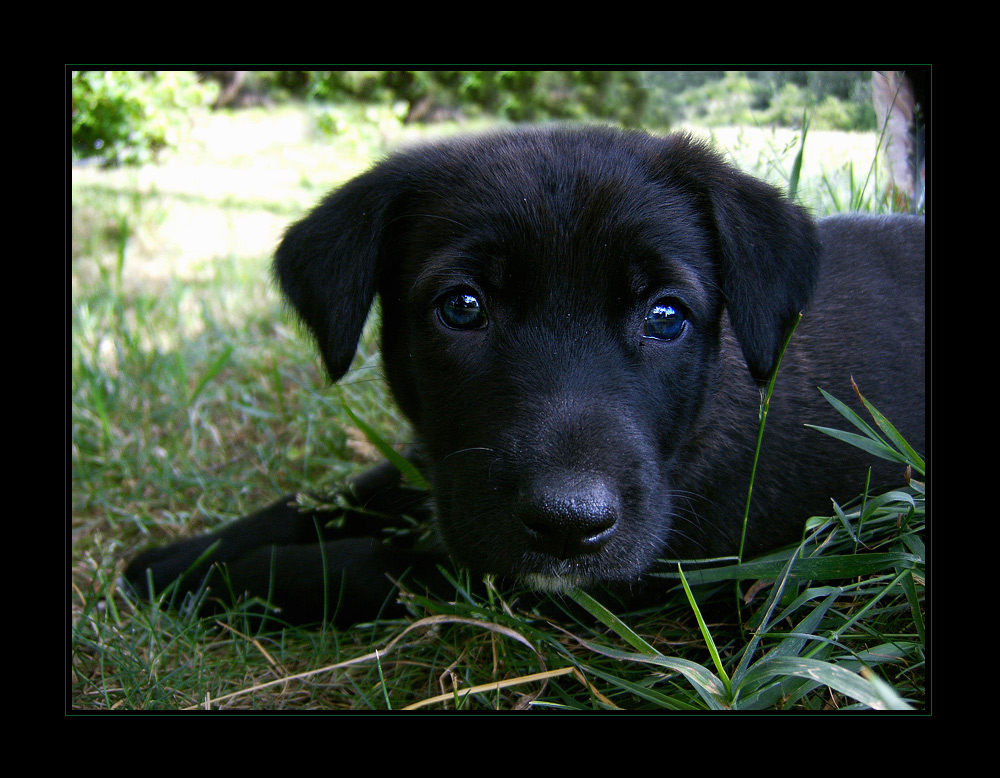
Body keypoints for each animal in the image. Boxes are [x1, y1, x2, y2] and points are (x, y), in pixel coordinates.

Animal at [127, 126, 928, 624]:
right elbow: (320, 499)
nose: (569, 525)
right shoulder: (441, 463)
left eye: (667, 316)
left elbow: (350, 566)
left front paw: (210, 580)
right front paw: (179, 556)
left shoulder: (536, 578)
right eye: (462, 307)